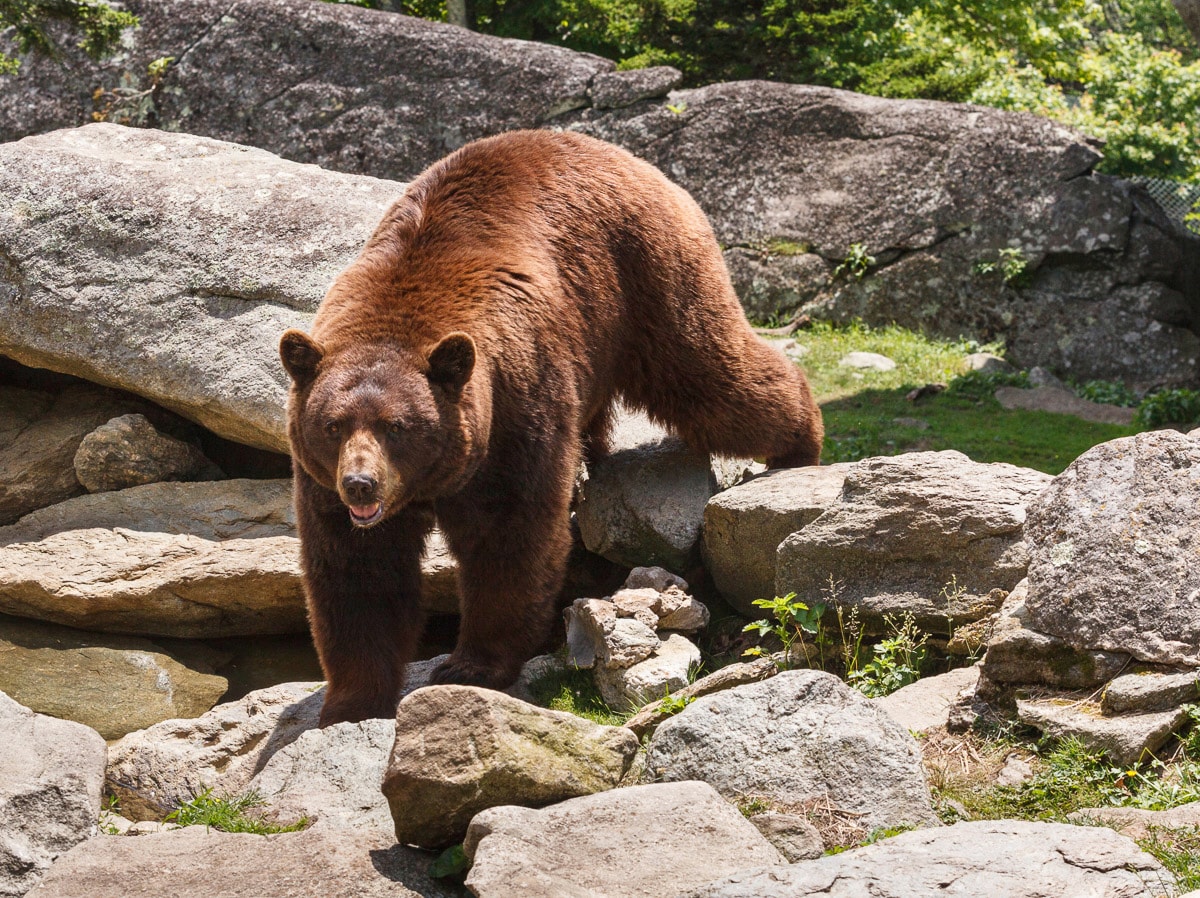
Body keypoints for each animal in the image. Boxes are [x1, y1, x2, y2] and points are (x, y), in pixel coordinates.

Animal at [280, 129, 825, 725]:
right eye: (333, 426)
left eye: (398, 426)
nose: (361, 484)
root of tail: (629, 157)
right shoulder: (323, 481)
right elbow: (358, 569)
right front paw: (351, 700)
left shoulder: (515, 406)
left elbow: (508, 534)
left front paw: (471, 665)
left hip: (646, 279)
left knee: (711, 376)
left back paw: (801, 441)